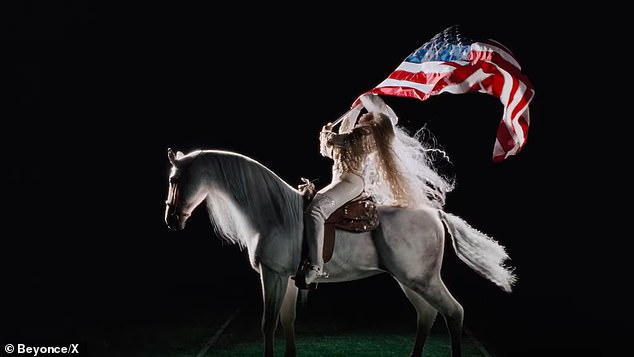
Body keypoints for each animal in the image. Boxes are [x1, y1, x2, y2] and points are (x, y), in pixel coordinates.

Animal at [163, 147, 512, 356]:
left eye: (176, 179)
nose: (171, 220)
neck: (275, 212)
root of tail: (435, 214)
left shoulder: (272, 276)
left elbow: (268, 323)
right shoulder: (289, 280)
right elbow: (287, 321)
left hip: (423, 280)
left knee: (454, 313)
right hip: (409, 281)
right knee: (427, 315)